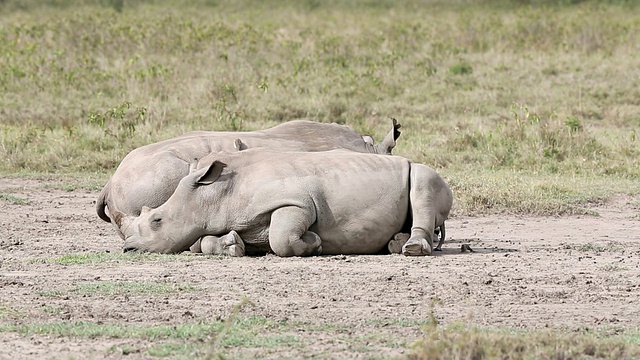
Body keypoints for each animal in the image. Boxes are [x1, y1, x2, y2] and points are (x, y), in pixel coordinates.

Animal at [119, 150, 450, 258]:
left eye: (157, 221)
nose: (128, 248)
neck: (214, 193)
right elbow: (201, 242)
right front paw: (232, 246)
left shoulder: (296, 202)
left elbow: (281, 237)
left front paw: (315, 243)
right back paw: (395, 244)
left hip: (424, 173)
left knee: (422, 180)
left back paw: (412, 249)